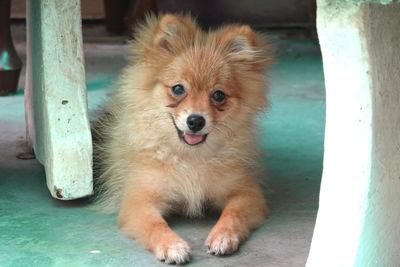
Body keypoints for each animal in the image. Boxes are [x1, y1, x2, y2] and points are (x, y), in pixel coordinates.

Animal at [94, 13, 274, 264]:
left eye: (218, 95)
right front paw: (171, 245)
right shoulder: (139, 202)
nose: (196, 121)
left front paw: (223, 236)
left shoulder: (246, 194)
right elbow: (155, 225)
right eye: (178, 89)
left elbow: (233, 214)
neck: (189, 157)